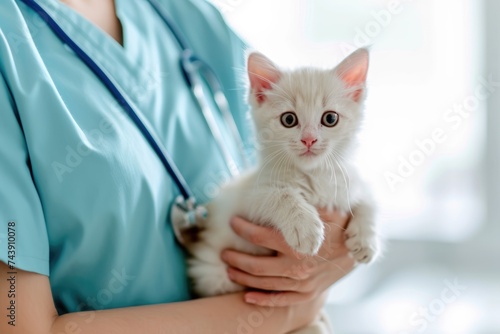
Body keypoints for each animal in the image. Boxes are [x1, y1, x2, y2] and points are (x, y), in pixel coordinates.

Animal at [188, 48, 378, 296]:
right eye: (289, 119)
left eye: (330, 118)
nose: (309, 139)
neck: (313, 175)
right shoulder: (247, 200)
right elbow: (280, 194)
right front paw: (304, 227)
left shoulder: (348, 181)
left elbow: (368, 200)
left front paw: (366, 239)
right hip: (214, 274)